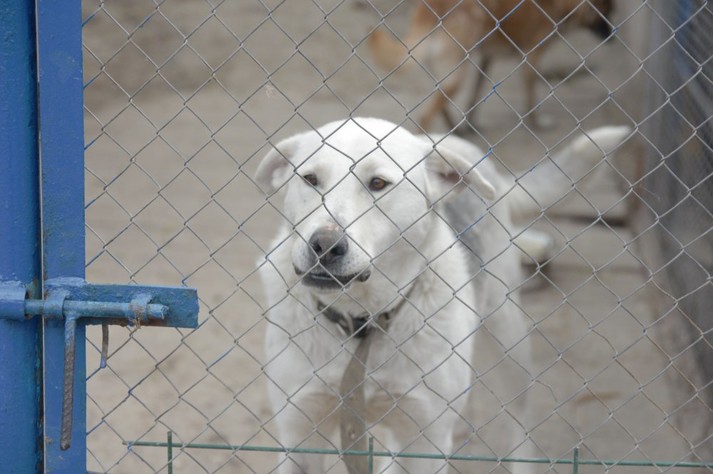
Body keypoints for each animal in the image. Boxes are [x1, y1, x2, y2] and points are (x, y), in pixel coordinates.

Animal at [256, 118, 630, 473]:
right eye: (310, 179)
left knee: (520, 424)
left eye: (378, 184)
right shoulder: (299, 434)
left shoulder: (427, 438)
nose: (324, 245)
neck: (362, 319)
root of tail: (453, 143)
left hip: (510, 341)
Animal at [368, 0, 614, 131]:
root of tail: (430, 10)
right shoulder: (531, 58)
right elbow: (531, 95)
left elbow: (476, 93)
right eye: (605, 12)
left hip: (448, 70)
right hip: (457, 72)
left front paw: (472, 123)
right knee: (425, 117)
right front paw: (536, 123)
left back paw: (453, 130)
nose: (613, 35)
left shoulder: (487, 59)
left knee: (437, 101)